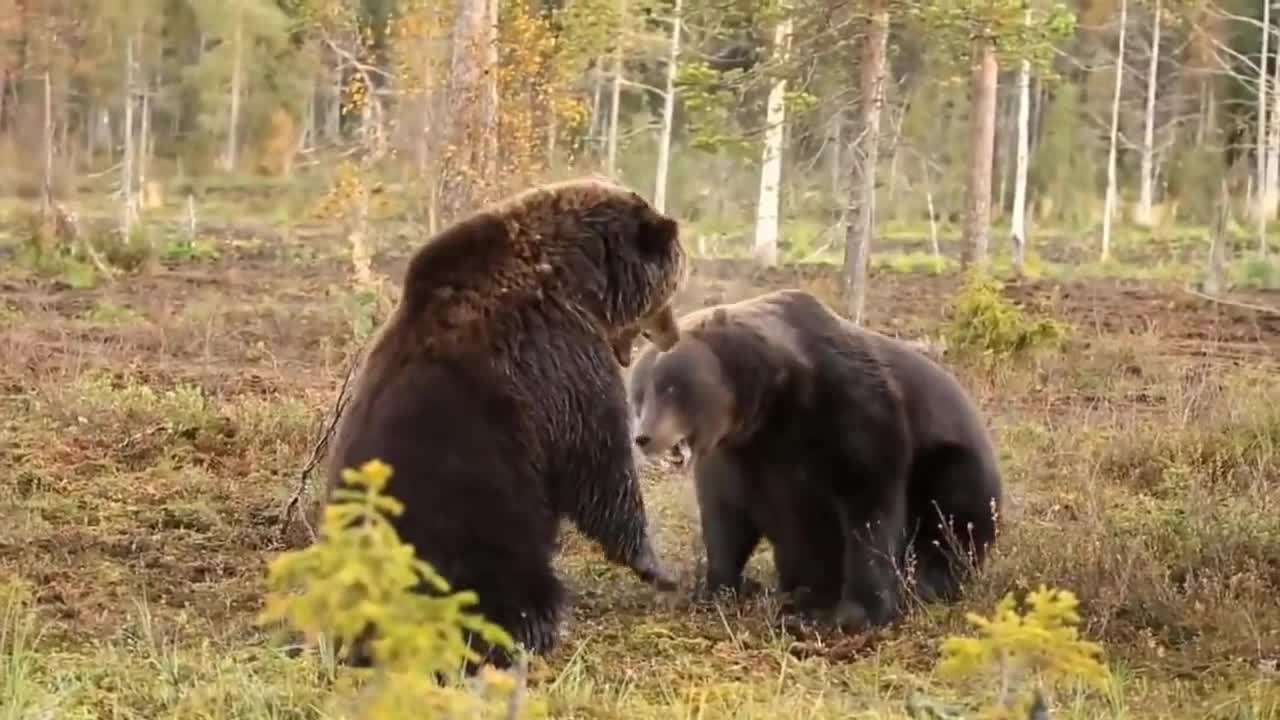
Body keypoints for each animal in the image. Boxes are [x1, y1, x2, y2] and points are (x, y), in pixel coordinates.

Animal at [327, 176, 691, 666]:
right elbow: (601, 463)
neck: (584, 282)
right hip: (472, 517)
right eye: (670, 289)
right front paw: (657, 566)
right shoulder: (561, 362)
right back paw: (533, 625)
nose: (674, 335)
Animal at [624, 288, 1003, 630]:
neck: (771, 408)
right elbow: (727, 518)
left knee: (951, 514)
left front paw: (857, 613)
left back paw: (924, 582)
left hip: (954, 462)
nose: (643, 437)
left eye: (671, 387)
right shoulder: (737, 456)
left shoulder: (855, 415)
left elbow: (870, 514)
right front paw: (715, 589)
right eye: (638, 395)